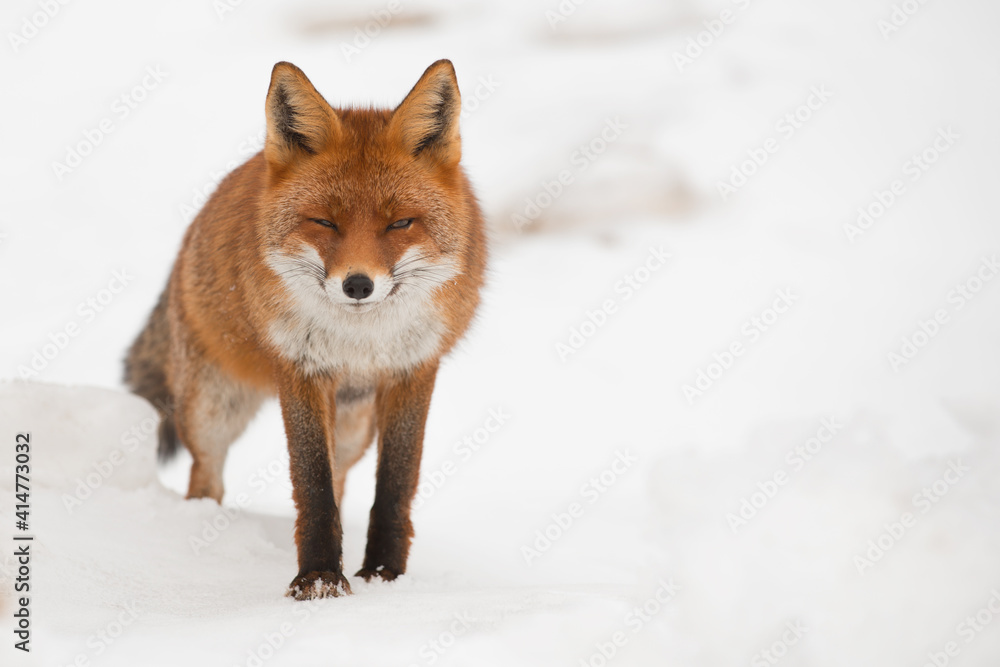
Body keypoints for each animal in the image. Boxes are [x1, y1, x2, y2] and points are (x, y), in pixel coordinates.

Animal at [123, 59, 486, 600]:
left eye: (400, 223)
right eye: (325, 222)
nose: (358, 284)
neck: (362, 341)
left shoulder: (414, 368)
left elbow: (393, 485)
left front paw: (384, 577)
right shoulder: (300, 367)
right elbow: (312, 485)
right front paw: (318, 580)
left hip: (354, 426)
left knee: (342, 478)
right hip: (210, 410)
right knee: (205, 477)